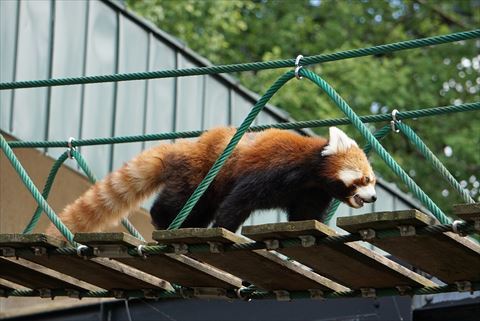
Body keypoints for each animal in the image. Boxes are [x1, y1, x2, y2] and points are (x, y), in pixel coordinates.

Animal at [46, 126, 376, 236]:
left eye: (372, 180)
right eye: (363, 179)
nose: (373, 197)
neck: (310, 172)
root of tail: (186, 148)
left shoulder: (312, 192)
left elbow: (303, 216)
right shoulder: (274, 170)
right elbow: (239, 201)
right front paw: (226, 228)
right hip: (198, 175)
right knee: (177, 201)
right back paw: (163, 219)